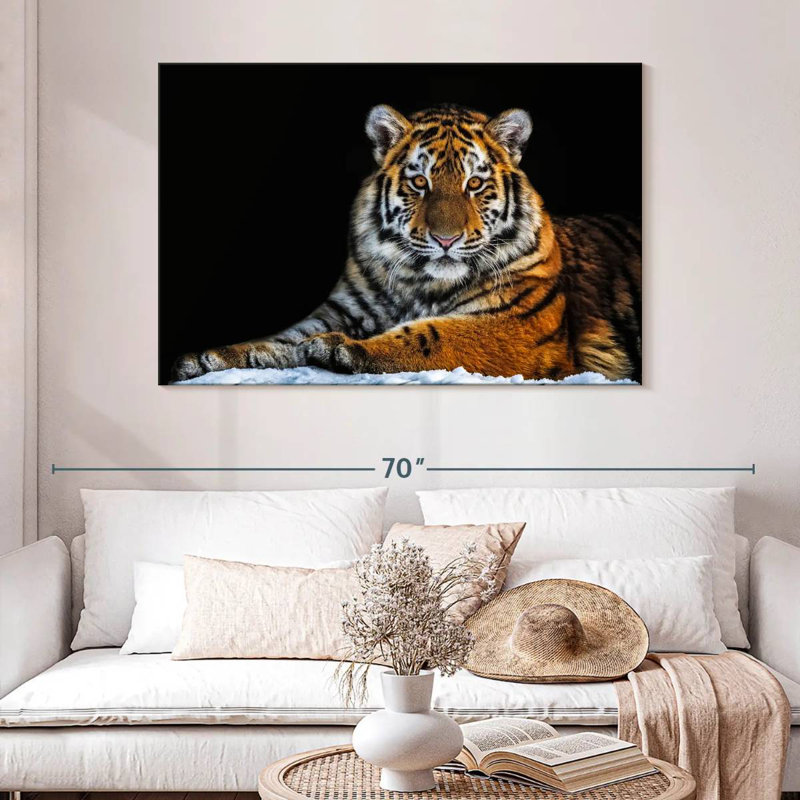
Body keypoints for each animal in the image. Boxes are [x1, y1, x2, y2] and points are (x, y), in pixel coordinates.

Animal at [172, 103, 641, 383]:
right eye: (420, 183)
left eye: (474, 185)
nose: (446, 239)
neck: (420, 282)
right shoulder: (342, 309)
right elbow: (280, 340)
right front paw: (210, 357)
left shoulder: (516, 325)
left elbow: (433, 336)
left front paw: (340, 349)